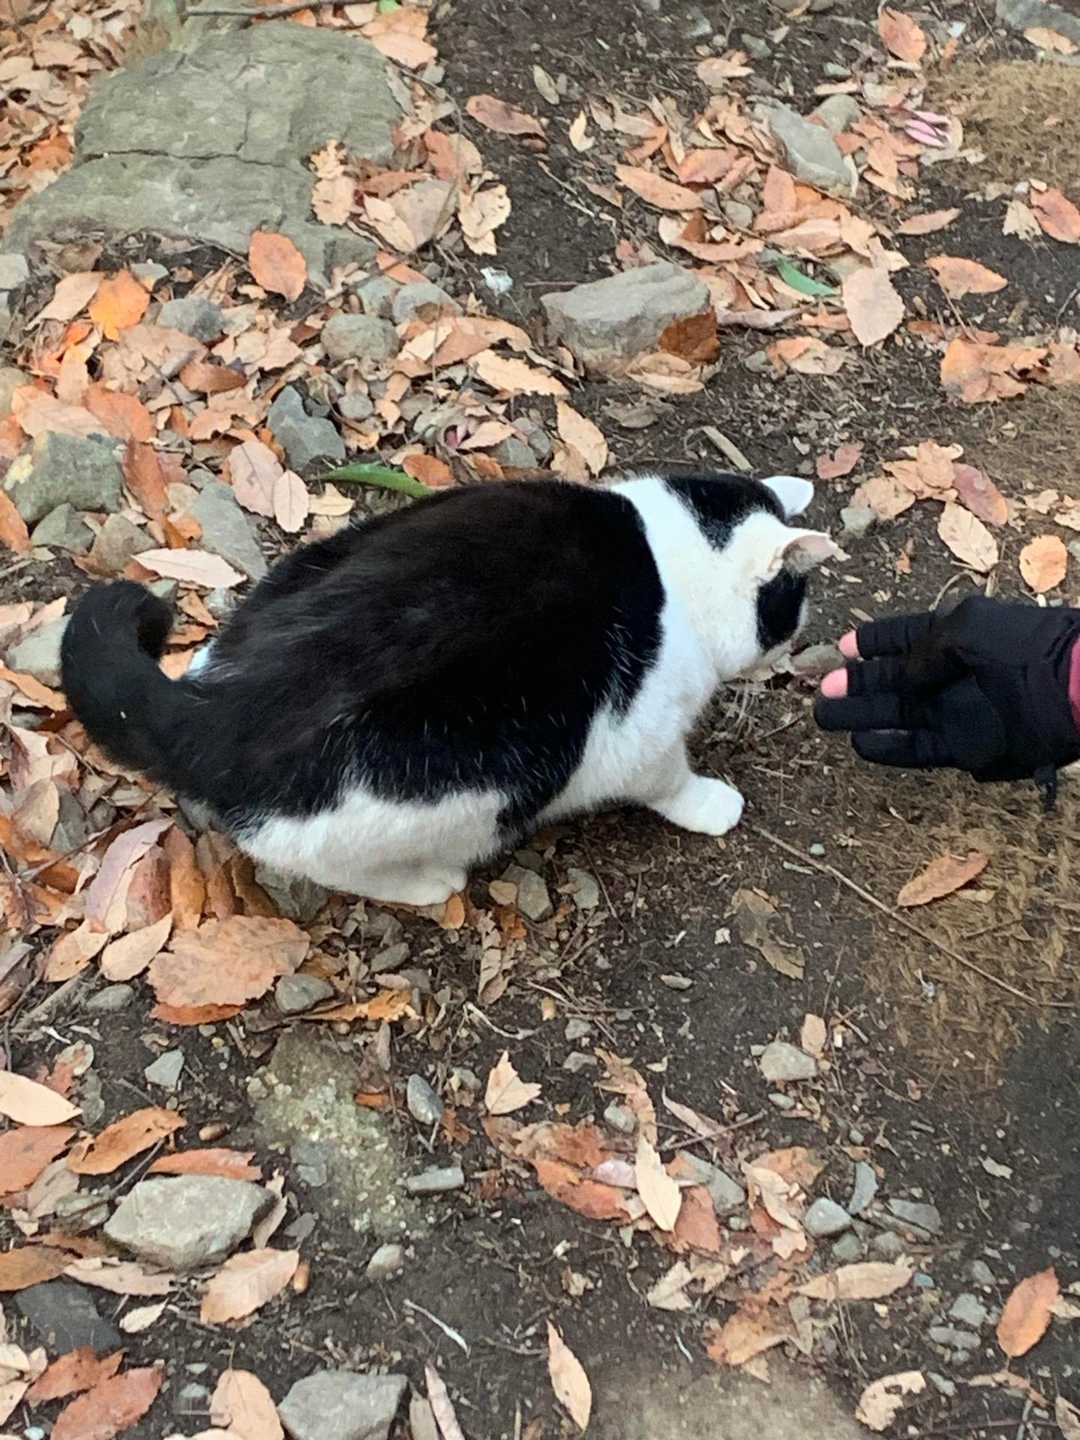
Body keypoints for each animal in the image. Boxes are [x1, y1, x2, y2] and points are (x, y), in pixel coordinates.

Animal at [61, 470, 837, 906]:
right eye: (792, 606)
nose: (801, 632)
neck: (671, 556)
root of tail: (213, 709)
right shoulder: (641, 733)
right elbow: (669, 780)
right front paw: (709, 804)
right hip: (459, 790)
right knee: (317, 861)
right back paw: (424, 883)